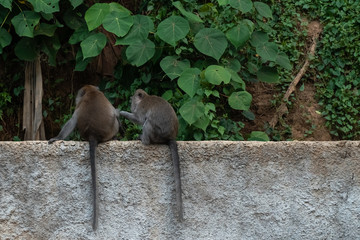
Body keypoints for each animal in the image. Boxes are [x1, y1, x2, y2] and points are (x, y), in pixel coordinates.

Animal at [47, 85, 119, 231]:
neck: (91, 91)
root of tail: (93, 134)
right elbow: (115, 112)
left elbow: (72, 121)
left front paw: (57, 138)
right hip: (110, 130)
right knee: (115, 119)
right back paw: (114, 137)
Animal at [119, 89, 184, 221]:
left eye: (132, 101)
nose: (131, 105)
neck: (145, 98)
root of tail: (170, 137)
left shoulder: (141, 107)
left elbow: (139, 119)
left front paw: (121, 112)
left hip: (157, 135)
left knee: (148, 122)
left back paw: (144, 140)